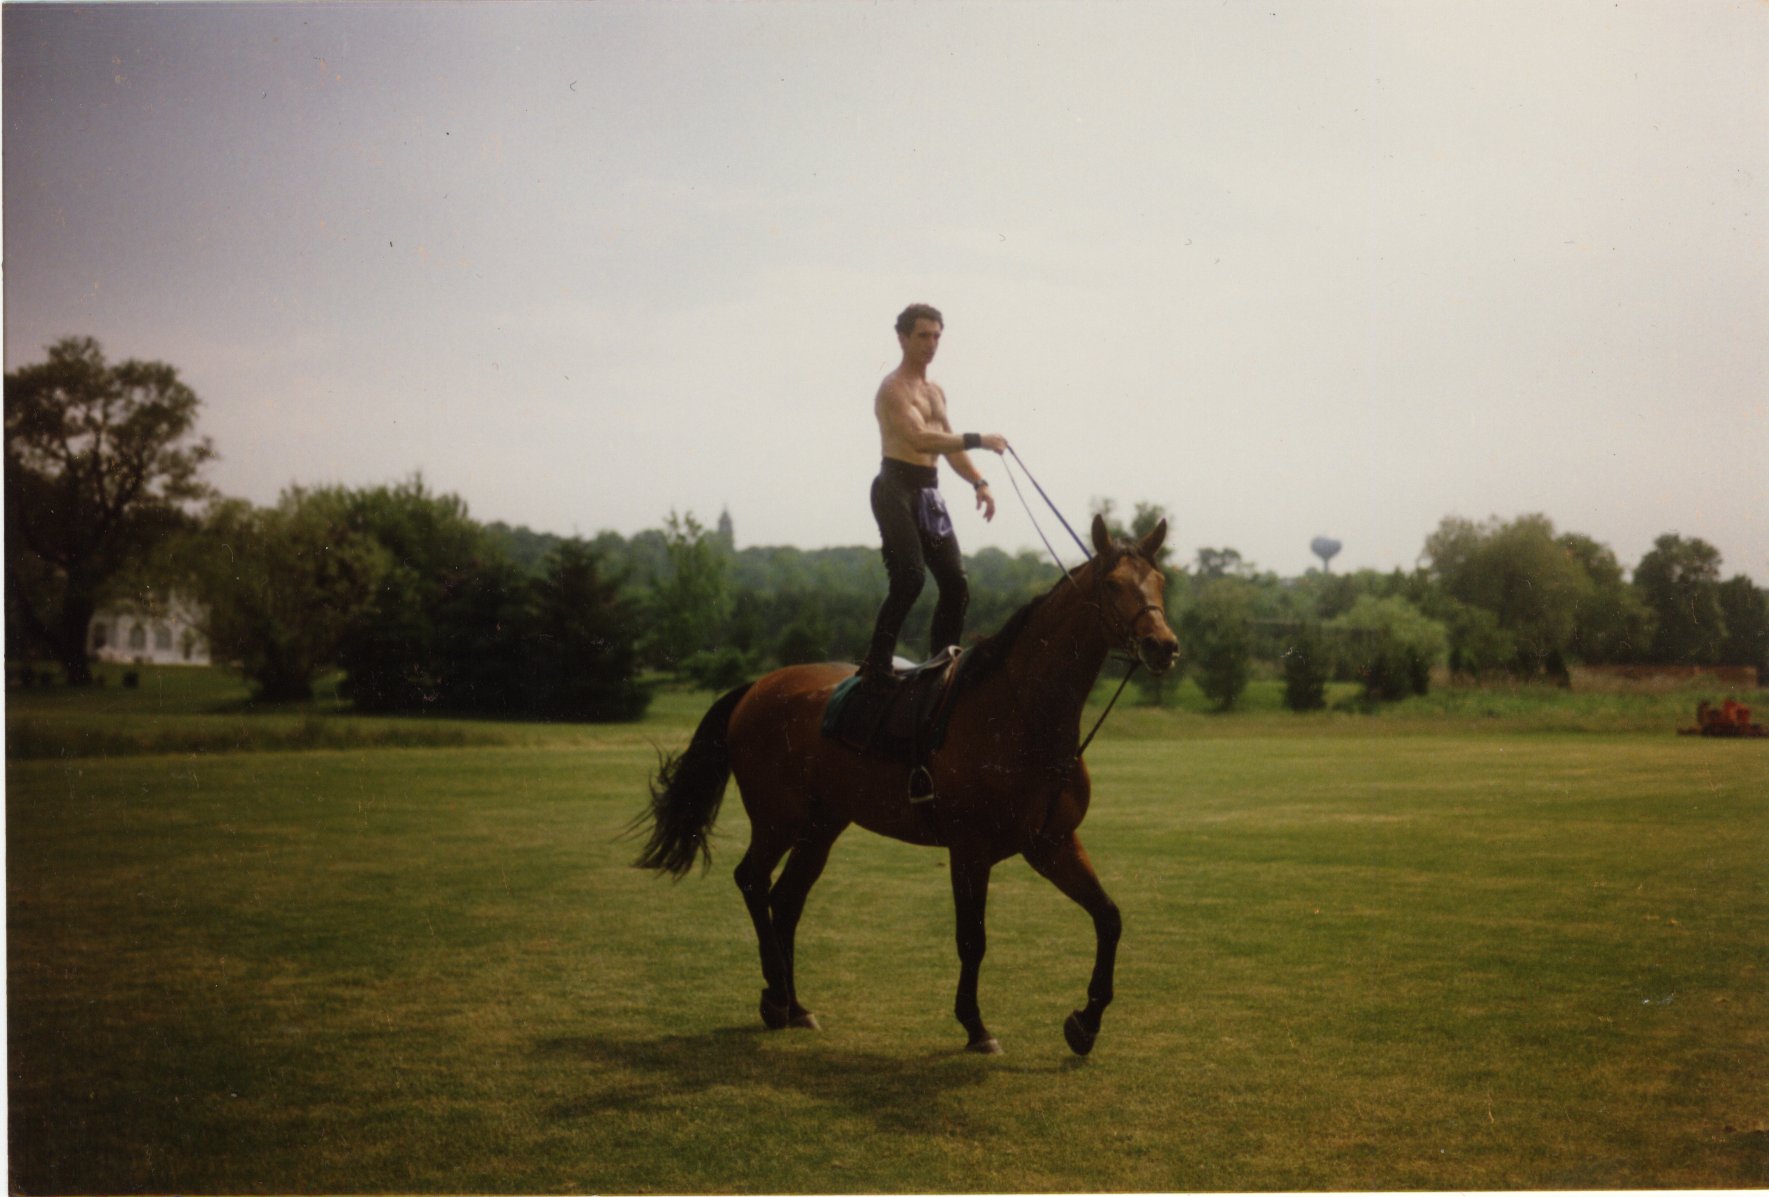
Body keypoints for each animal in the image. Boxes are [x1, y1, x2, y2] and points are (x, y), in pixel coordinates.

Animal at [636, 512, 1174, 1053]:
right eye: (1112, 584)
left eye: (1161, 581)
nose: (1163, 646)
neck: (1020, 715)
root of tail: (758, 686)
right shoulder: (970, 850)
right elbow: (973, 939)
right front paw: (975, 1026)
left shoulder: (1052, 843)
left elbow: (1108, 917)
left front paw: (1086, 1022)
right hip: (777, 819)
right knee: (752, 880)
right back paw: (775, 998)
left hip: (821, 825)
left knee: (786, 901)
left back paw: (795, 1004)